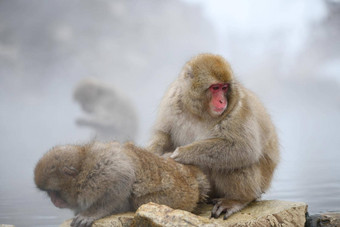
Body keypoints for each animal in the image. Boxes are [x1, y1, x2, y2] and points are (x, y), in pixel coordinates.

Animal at [148, 53, 278, 220]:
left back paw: (238, 200)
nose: (222, 100)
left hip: (259, 184)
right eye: (215, 88)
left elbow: (243, 148)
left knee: (233, 163)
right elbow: (164, 134)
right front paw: (152, 153)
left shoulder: (239, 107)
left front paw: (180, 154)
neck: (200, 113)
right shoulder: (172, 99)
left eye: (225, 87)